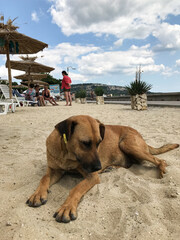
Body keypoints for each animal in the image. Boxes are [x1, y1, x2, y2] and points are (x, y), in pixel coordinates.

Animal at [26, 115, 179, 223]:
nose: (98, 167)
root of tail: (142, 137)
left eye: (99, 142)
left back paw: (162, 171)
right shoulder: (55, 170)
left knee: (159, 160)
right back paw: (111, 167)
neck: (68, 155)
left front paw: (67, 208)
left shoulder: (91, 176)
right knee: (130, 163)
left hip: (128, 144)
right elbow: (44, 178)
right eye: (85, 143)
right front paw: (37, 194)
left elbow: (75, 189)